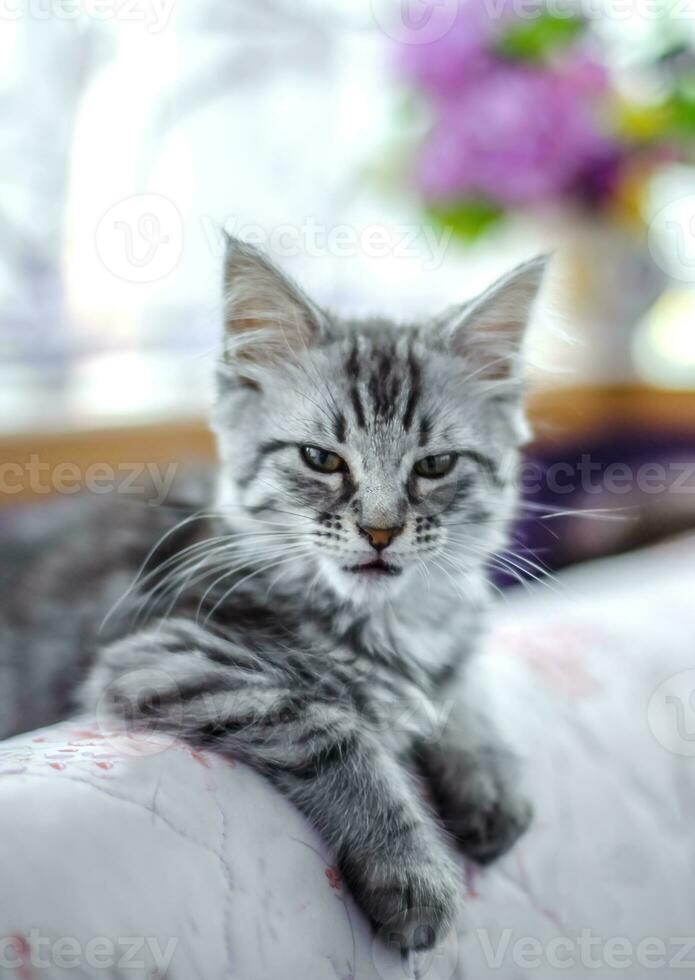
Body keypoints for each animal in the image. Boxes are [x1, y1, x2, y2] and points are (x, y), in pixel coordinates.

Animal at [2, 241, 548, 952]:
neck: (393, 623)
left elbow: (461, 695)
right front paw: (413, 870)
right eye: (321, 459)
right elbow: (335, 729)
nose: (380, 531)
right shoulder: (167, 658)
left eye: (434, 466)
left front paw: (490, 781)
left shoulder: (451, 654)